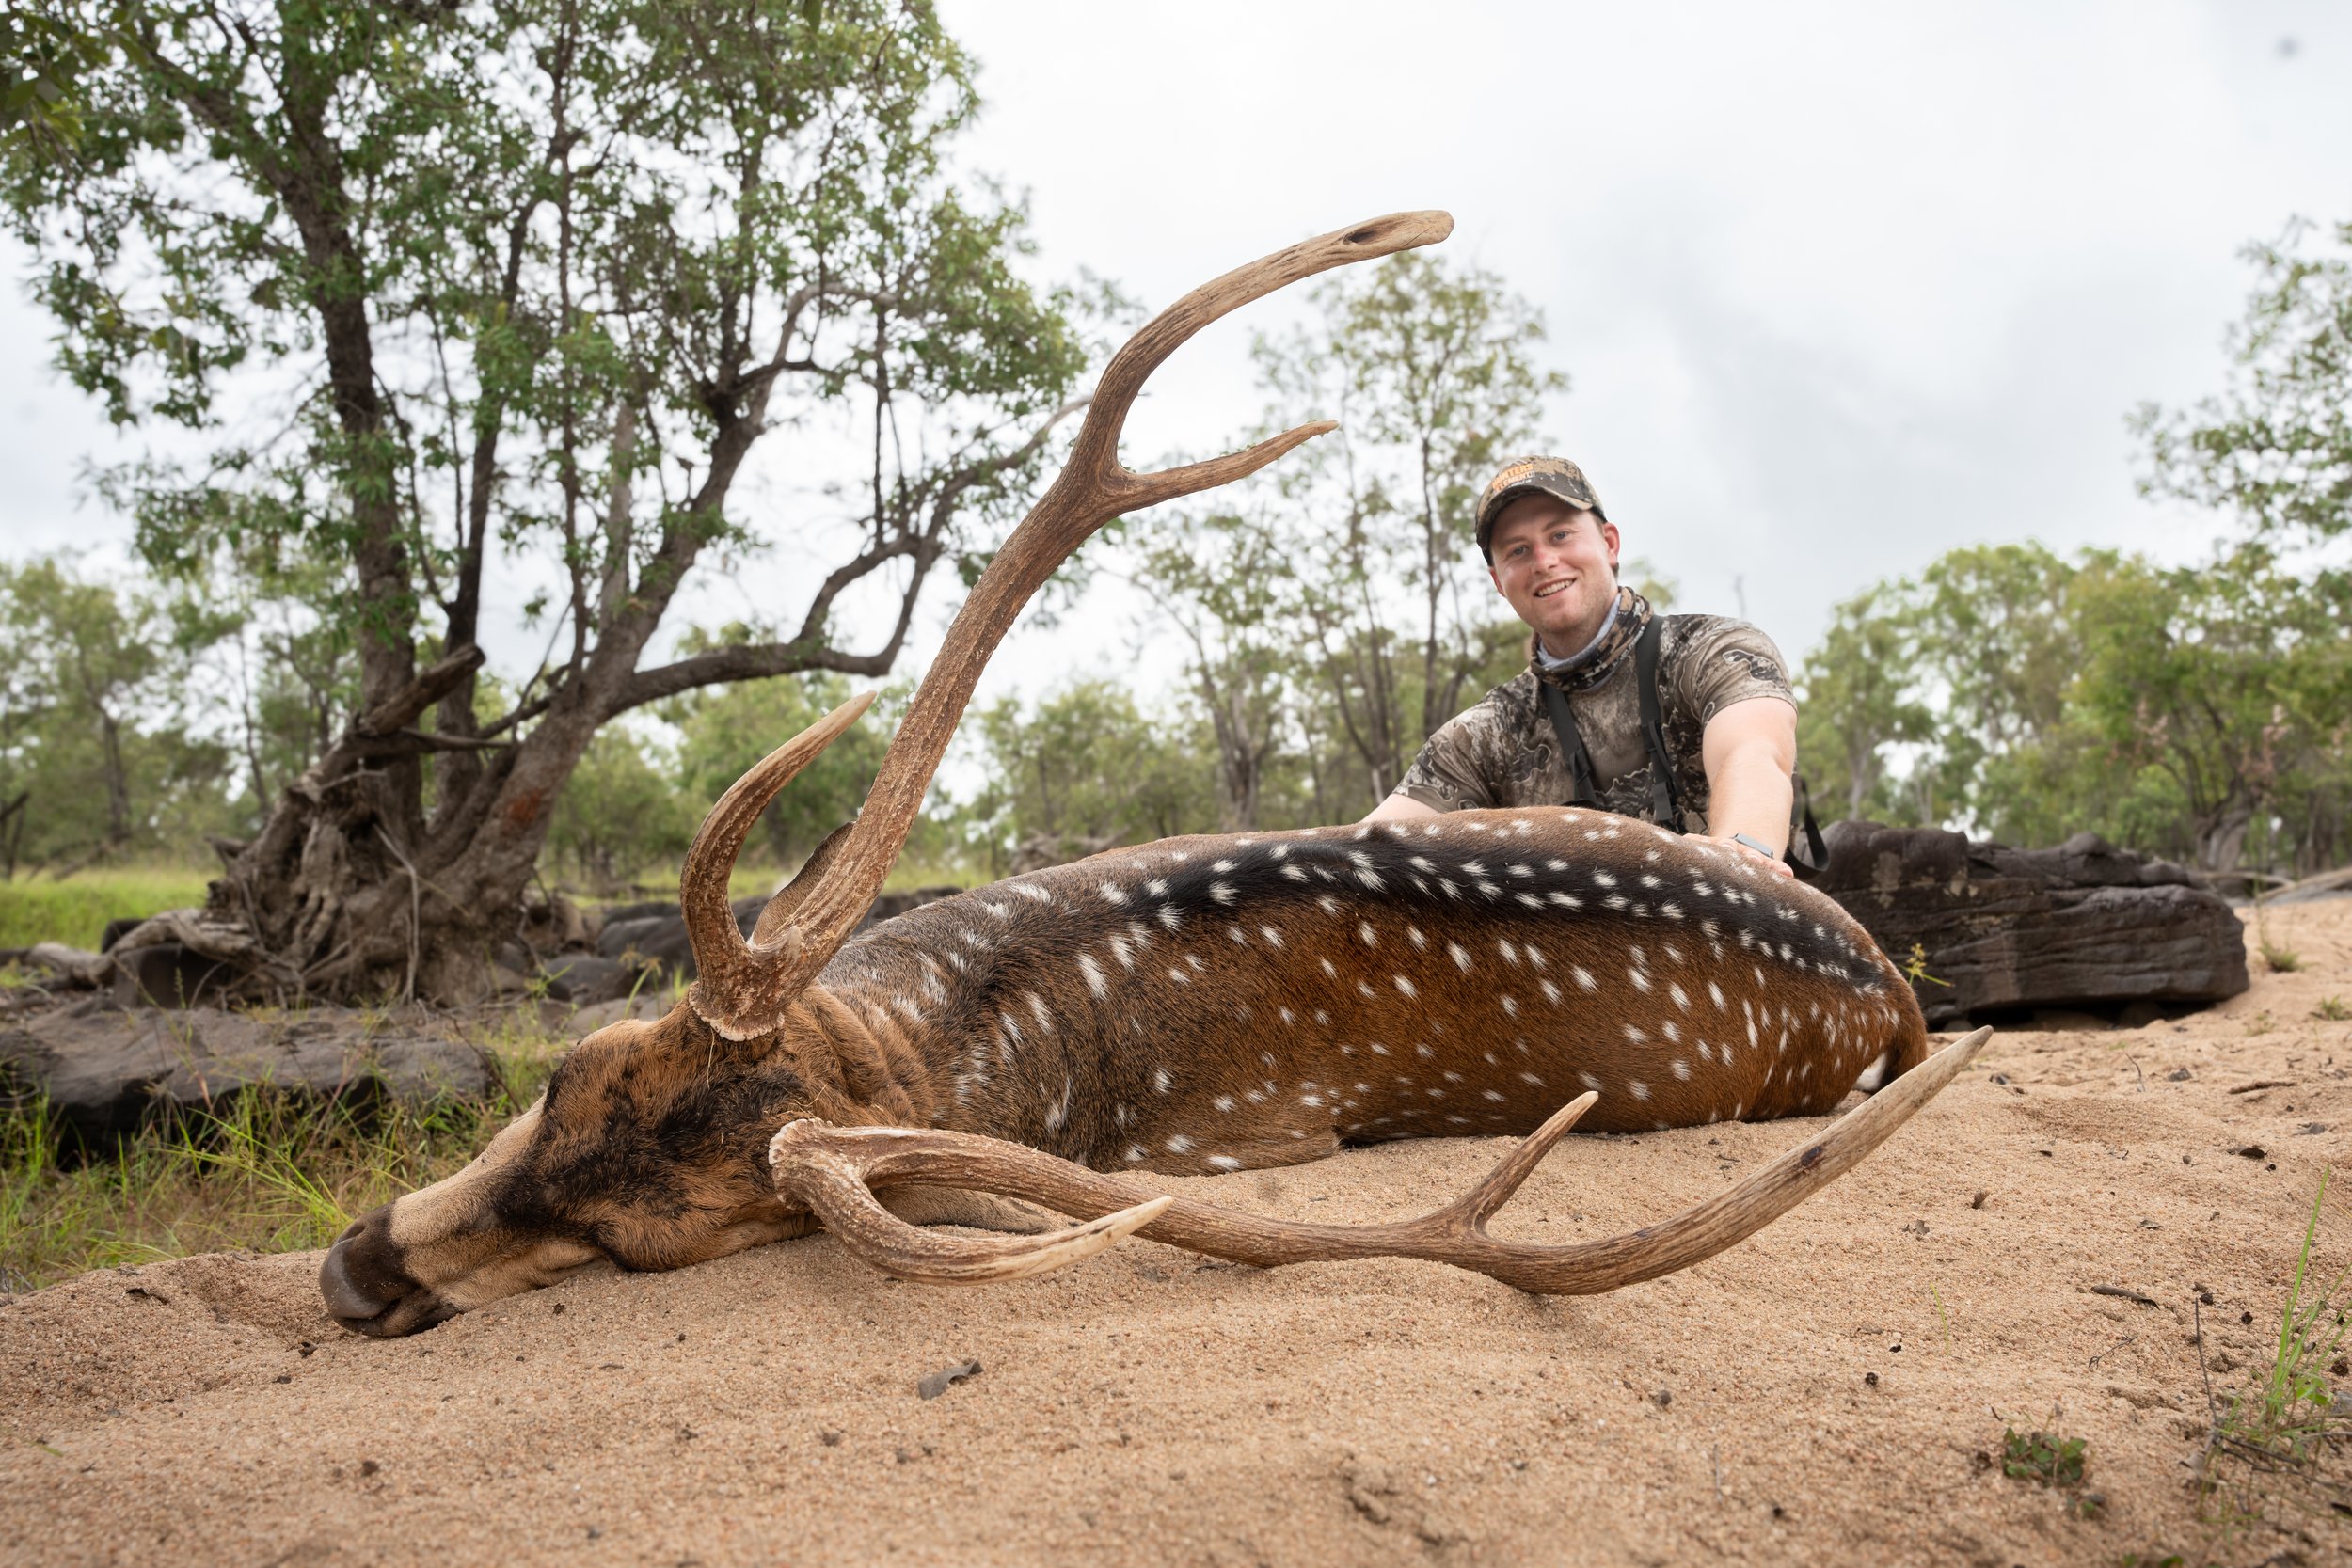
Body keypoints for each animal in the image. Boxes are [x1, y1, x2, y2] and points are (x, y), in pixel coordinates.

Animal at [319, 211, 1990, 1337]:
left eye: (640, 1243)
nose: (351, 1264)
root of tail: (1894, 982)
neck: (1002, 1030)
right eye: (560, 1080)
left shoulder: (1227, 1133)